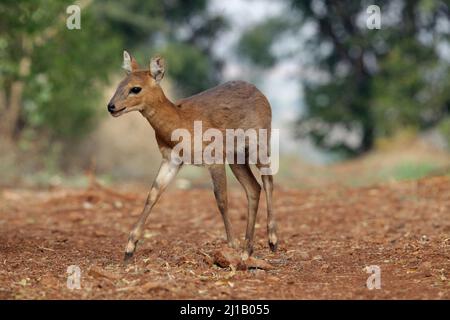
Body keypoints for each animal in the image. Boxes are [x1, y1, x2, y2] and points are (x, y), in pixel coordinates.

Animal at [109, 51, 278, 262]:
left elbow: (221, 199)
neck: (180, 122)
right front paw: (129, 249)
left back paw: (272, 241)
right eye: (120, 84)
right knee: (253, 188)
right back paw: (248, 250)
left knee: (268, 180)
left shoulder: (214, 159)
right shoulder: (171, 160)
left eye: (135, 88)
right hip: (236, 158)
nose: (111, 106)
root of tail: (261, 94)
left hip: (259, 145)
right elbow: (153, 194)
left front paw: (232, 244)